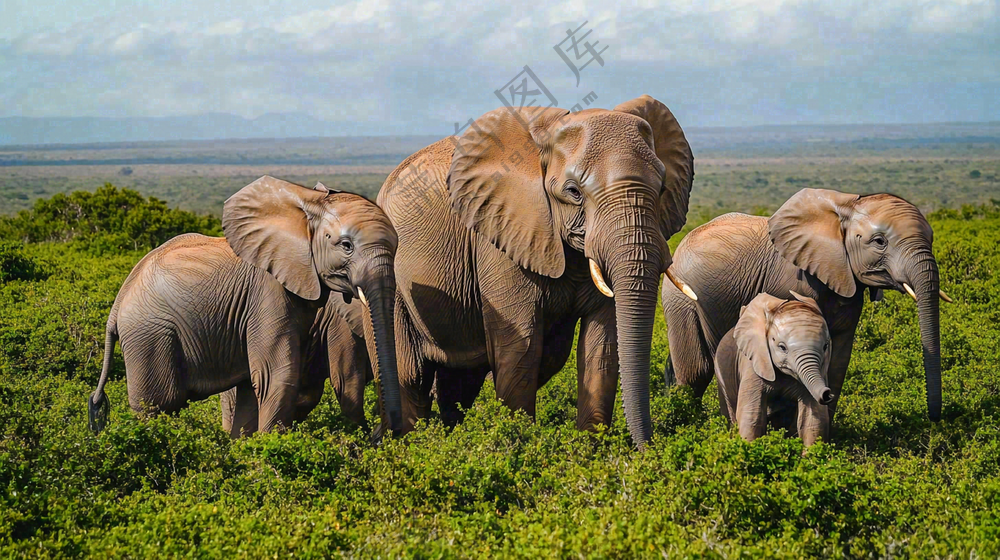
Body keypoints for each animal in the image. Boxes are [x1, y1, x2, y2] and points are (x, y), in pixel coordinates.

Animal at [88, 176, 403, 436]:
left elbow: (262, 384)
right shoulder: (267, 292)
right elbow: (285, 375)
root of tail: (117, 304)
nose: (382, 434)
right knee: (158, 404)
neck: (305, 206)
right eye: (346, 245)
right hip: (149, 336)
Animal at [372, 95, 696, 447]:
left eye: (661, 188)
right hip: (396, 285)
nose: (648, 448)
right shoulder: (500, 236)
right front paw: (520, 444)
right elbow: (522, 349)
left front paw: (590, 451)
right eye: (573, 191)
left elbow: (602, 348)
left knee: (460, 383)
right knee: (410, 375)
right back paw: (407, 444)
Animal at [664, 188, 951, 423]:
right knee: (697, 370)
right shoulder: (792, 279)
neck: (844, 209)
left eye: (932, 238)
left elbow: (838, 358)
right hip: (681, 298)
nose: (935, 418)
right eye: (880, 242)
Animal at [714, 291, 833, 447]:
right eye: (782, 347)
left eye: (825, 346)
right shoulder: (753, 361)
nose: (827, 394)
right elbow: (751, 415)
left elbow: (812, 420)